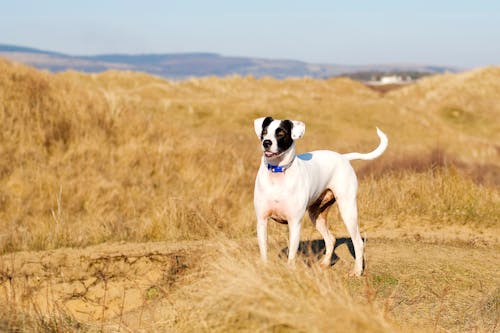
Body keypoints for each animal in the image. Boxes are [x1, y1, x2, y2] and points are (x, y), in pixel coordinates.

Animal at [252, 116, 388, 274]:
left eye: (281, 133)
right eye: (264, 131)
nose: (266, 142)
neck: (277, 173)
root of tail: (343, 157)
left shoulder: (294, 223)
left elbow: (292, 254)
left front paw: (290, 271)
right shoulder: (262, 221)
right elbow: (263, 250)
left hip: (347, 210)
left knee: (358, 242)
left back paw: (357, 271)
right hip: (316, 215)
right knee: (331, 239)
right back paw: (325, 263)